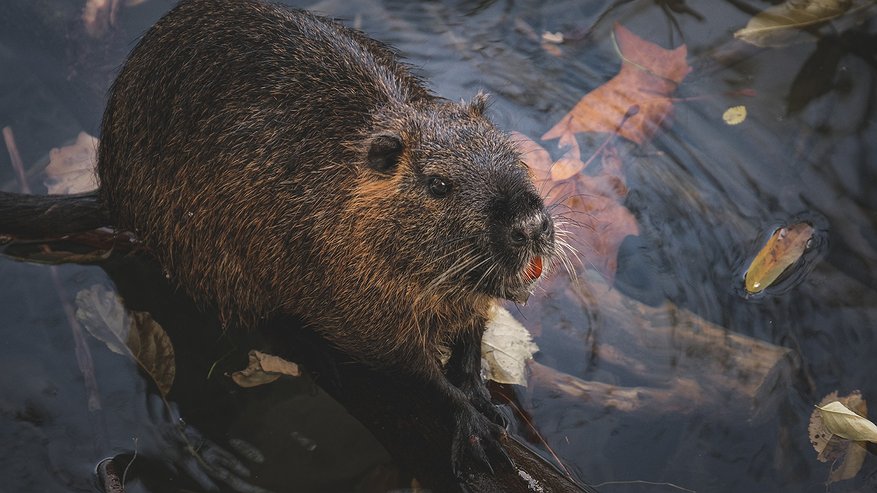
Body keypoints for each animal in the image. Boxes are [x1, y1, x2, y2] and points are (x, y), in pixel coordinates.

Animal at [6, 0, 556, 478]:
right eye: (438, 184)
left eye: (508, 147)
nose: (530, 225)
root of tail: (110, 194)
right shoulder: (349, 297)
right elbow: (407, 366)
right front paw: (473, 421)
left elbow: (470, 333)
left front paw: (480, 392)